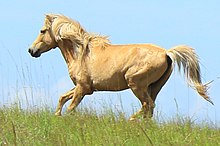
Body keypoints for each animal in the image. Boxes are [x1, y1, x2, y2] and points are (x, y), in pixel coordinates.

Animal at [27, 14, 213, 120]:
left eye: (42, 31)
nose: (31, 50)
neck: (81, 53)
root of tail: (167, 53)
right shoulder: (84, 87)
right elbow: (62, 98)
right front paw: (57, 115)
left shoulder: (83, 88)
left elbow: (71, 106)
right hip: (154, 86)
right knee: (150, 108)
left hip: (136, 84)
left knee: (147, 105)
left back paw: (130, 122)